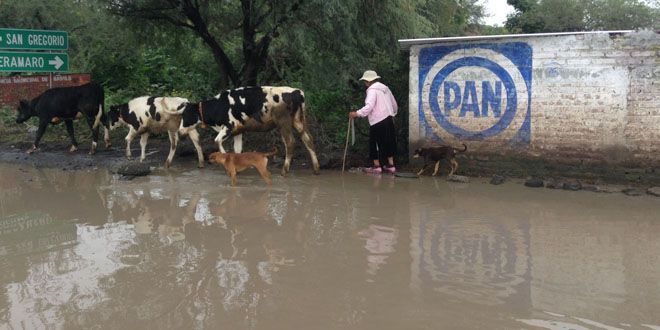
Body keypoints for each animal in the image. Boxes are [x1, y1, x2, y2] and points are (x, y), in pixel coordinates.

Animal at [175, 86, 320, 177]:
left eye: (185, 115)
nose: (180, 131)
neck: (219, 106)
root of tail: (296, 91)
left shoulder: (229, 126)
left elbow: (217, 141)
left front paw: (225, 161)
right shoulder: (238, 130)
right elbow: (237, 149)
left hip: (283, 122)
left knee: (290, 142)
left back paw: (284, 171)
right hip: (299, 121)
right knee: (308, 139)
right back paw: (316, 168)